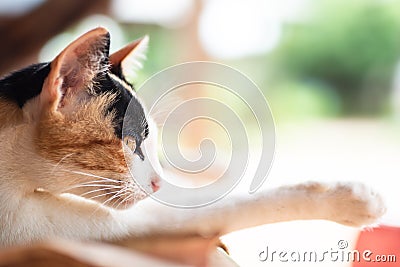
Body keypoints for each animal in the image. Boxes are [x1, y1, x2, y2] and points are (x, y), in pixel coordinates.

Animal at [0, 27, 388, 249]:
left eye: (149, 142)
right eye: (129, 144)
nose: (158, 182)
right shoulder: (41, 227)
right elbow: (212, 206)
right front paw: (353, 198)